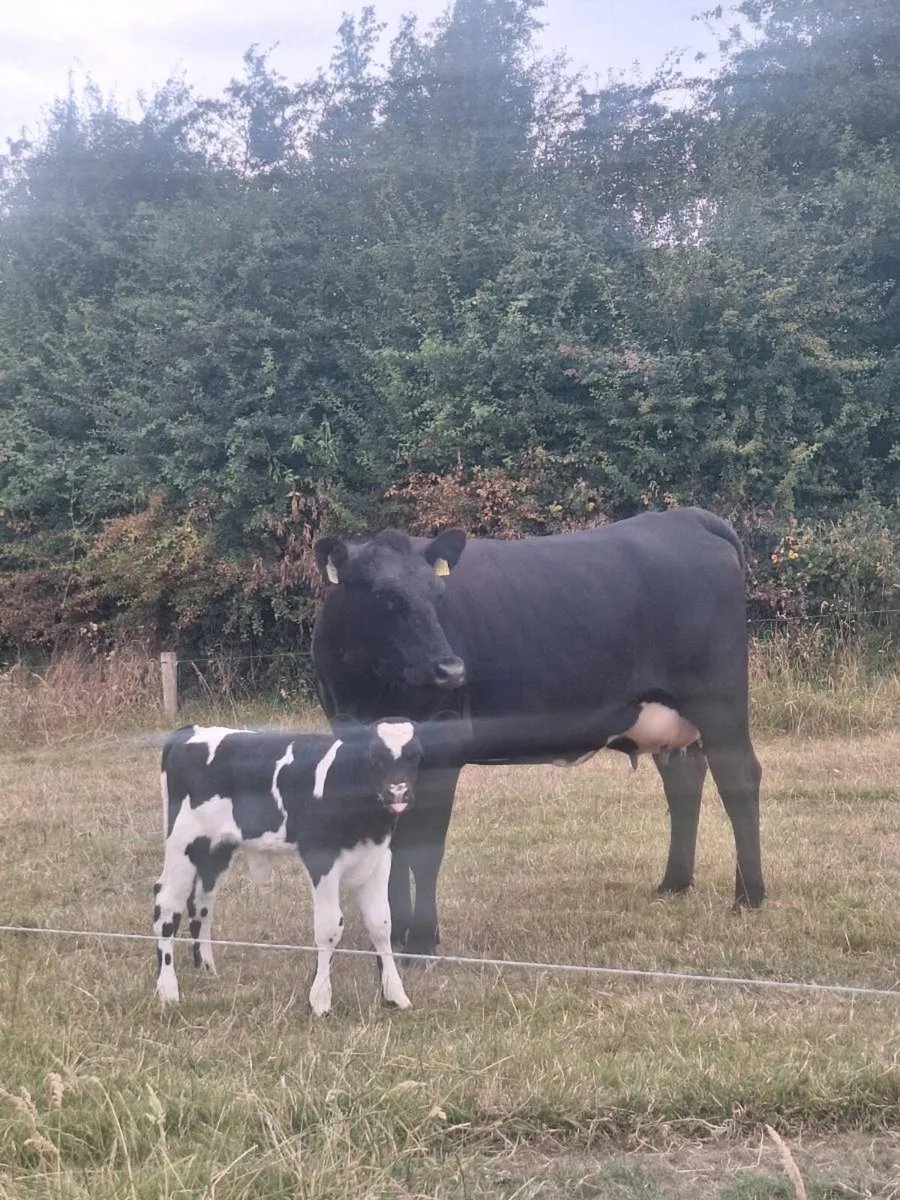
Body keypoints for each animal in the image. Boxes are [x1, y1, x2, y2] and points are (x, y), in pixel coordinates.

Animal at [311, 507, 763, 958]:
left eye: (438, 596)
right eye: (385, 598)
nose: (451, 670)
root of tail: (685, 517)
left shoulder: (443, 752)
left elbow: (423, 851)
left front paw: (421, 943)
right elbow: (393, 850)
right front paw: (396, 936)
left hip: (719, 702)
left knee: (739, 778)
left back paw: (749, 897)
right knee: (684, 781)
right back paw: (674, 884)